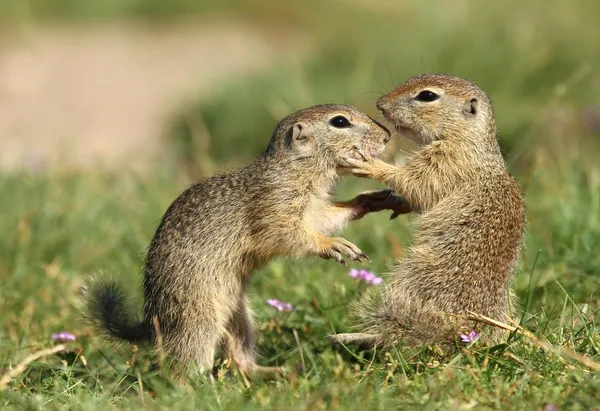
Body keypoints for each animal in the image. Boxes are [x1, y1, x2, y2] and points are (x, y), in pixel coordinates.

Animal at [85, 104, 394, 380]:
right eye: (340, 122)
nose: (387, 135)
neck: (294, 170)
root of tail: (152, 321)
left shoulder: (315, 210)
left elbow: (328, 219)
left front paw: (370, 199)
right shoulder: (274, 208)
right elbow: (289, 235)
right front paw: (334, 245)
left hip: (238, 317)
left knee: (239, 359)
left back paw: (280, 372)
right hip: (198, 318)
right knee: (178, 370)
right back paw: (198, 389)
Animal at [328, 75, 524, 350]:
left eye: (427, 96)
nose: (380, 104)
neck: (467, 139)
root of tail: (461, 332)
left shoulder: (447, 162)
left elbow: (417, 183)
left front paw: (370, 165)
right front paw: (390, 201)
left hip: (412, 275)